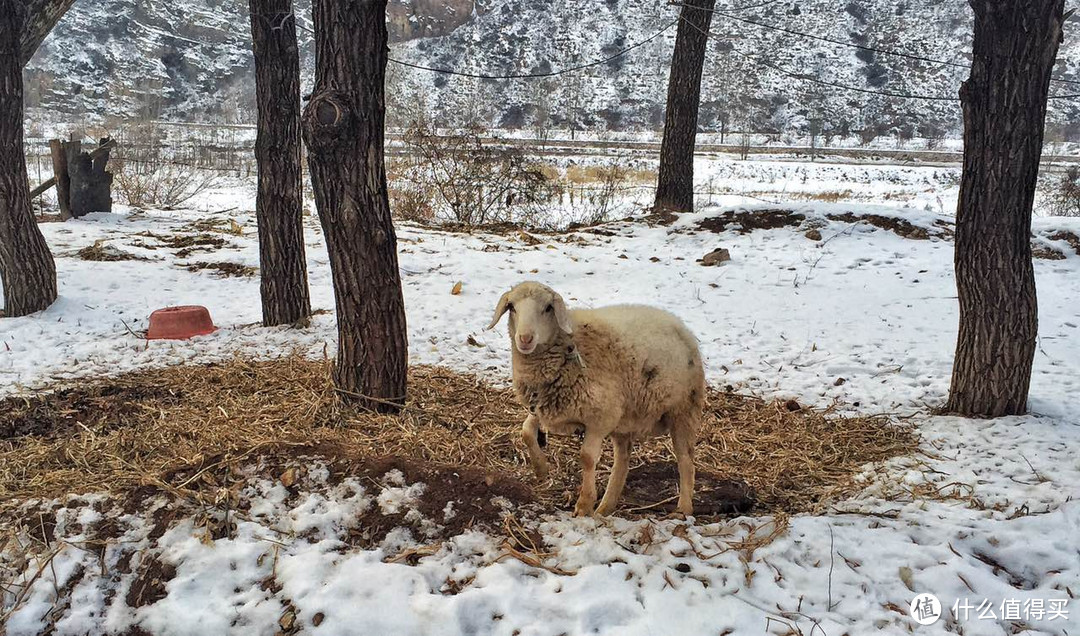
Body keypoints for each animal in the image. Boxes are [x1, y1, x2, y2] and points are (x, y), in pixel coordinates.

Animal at [486, 282, 704, 516]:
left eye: (548, 308)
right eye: (512, 307)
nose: (525, 339)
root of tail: (680, 324)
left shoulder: (599, 419)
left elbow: (587, 458)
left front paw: (584, 504)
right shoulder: (544, 406)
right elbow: (526, 431)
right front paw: (540, 469)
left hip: (683, 410)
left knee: (686, 461)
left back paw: (683, 509)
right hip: (626, 418)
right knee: (622, 460)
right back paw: (606, 507)